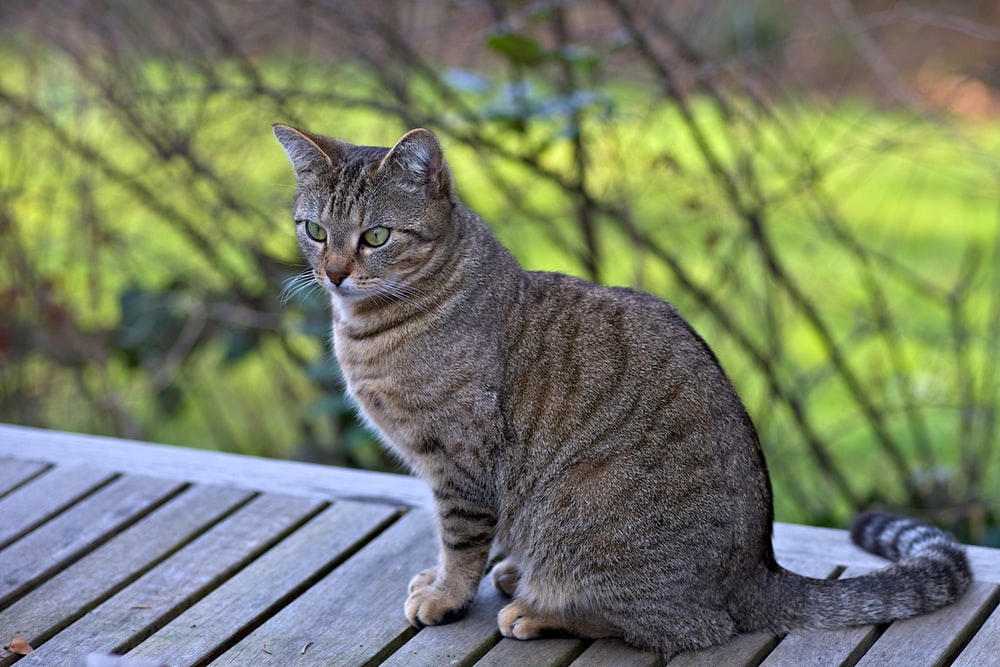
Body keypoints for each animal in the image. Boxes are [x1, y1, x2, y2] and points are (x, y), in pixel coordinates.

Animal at [272, 125, 968, 664]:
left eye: (376, 236)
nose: (333, 272)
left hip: (585, 511)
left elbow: (460, 542)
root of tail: (757, 569)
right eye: (314, 230)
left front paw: (446, 595)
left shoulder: (459, 463)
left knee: (686, 628)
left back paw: (538, 609)